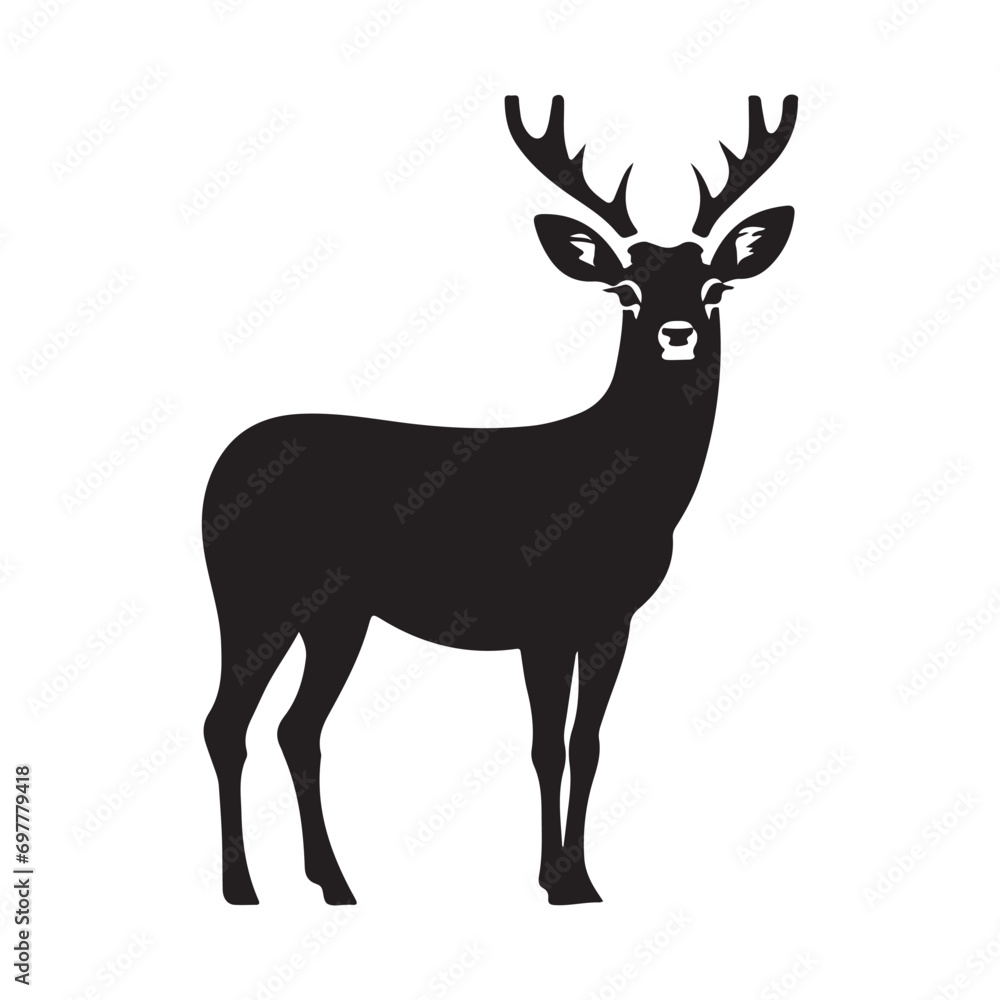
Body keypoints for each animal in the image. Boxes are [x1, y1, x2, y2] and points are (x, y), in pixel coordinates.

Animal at [203, 93, 798, 906]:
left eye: (714, 286)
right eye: (626, 290)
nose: (675, 333)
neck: (620, 494)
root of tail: (218, 469)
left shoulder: (611, 618)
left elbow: (588, 742)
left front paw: (581, 876)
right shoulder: (540, 613)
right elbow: (546, 745)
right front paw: (556, 881)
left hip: (336, 613)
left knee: (297, 728)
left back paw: (334, 882)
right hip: (250, 593)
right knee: (225, 724)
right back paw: (242, 888)